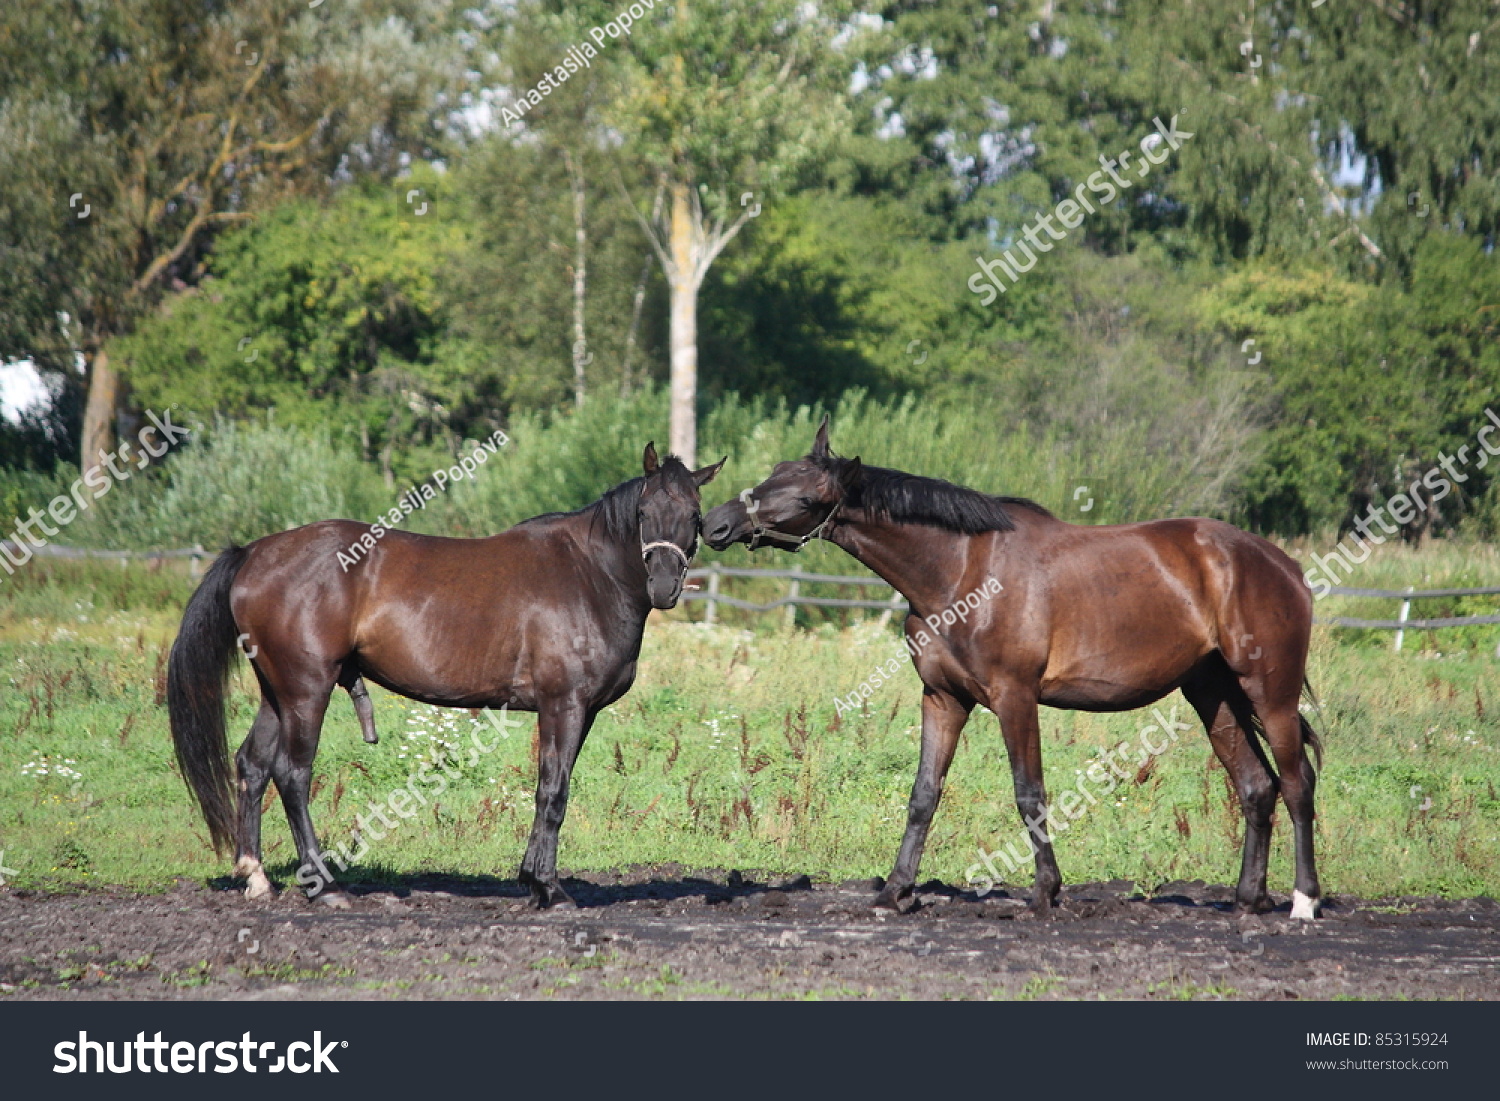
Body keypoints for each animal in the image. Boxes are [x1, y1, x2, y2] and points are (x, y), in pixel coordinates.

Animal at [167, 444, 723, 912]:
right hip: (307, 690)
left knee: (253, 764)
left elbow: (549, 789)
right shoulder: (563, 705)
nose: (664, 585)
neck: (590, 575)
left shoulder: (576, 713)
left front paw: (532, 880)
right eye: (645, 513)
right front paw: (549, 888)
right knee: (292, 774)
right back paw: (325, 887)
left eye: (694, 517)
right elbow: (553, 792)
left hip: (277, 692)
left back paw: (256, 876)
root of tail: (254, 553)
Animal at [705, 423, 1326, 924]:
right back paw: (1248, 899)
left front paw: (1045, 894)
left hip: (1269, 694)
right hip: (1212, 695)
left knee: (1297, 784)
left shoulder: (1015, 697)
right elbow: (924, 794)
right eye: (772, 474)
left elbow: (1030, 793)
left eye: (807, 496)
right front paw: (895, 892)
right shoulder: (941, 698)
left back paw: (1303, 900)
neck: (960, 571)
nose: (716, 524)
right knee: (1256, 787)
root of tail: (1283, 564)